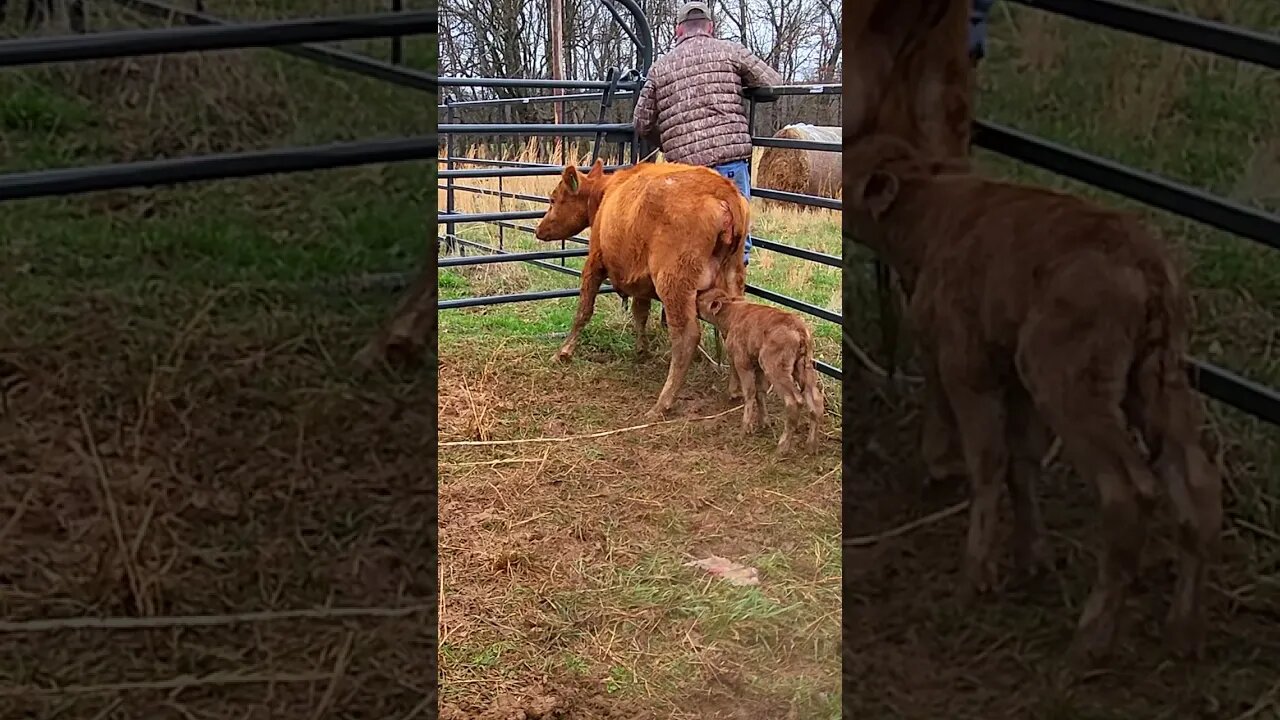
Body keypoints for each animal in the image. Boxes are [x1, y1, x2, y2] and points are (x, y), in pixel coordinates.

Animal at [532, 156, 747, 415]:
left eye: (553, 199)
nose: (538, 229)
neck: (605, 193)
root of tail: (722, 191)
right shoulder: (641, 281)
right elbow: (640, 312)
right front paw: (642, 349)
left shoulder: (594, 262)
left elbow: (584, 310)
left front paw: (564, 352)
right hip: (733, 275)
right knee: (731, 325)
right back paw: (735, 389)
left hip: (674, 281)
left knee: (686, 336)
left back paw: (663, 402)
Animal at [696, 285, 824, 448]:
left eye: (701, 299)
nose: (696, 295)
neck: (731, 314)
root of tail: (798, 330)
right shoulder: (756, 366)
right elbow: (760, 392)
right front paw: (764, 422)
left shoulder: (742, 362)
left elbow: (749, 391)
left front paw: (745, 428)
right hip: (803, 366)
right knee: (815, 399)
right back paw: (811, 445)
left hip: (774, 367)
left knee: (794, 401)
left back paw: (782, 447)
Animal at [844, 131, 1223, 661]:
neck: (933, 220)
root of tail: (1143, 264)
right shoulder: (1015, 380)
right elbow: (1022, 463)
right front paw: (1032, 558)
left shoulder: (969, 367)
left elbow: (988, 462)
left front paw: (977, 574)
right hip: (1155, 379)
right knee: (1197, 483)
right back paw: (1184, 630)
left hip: (1068, 382)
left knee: (1129, 490)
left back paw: (1092, 635)